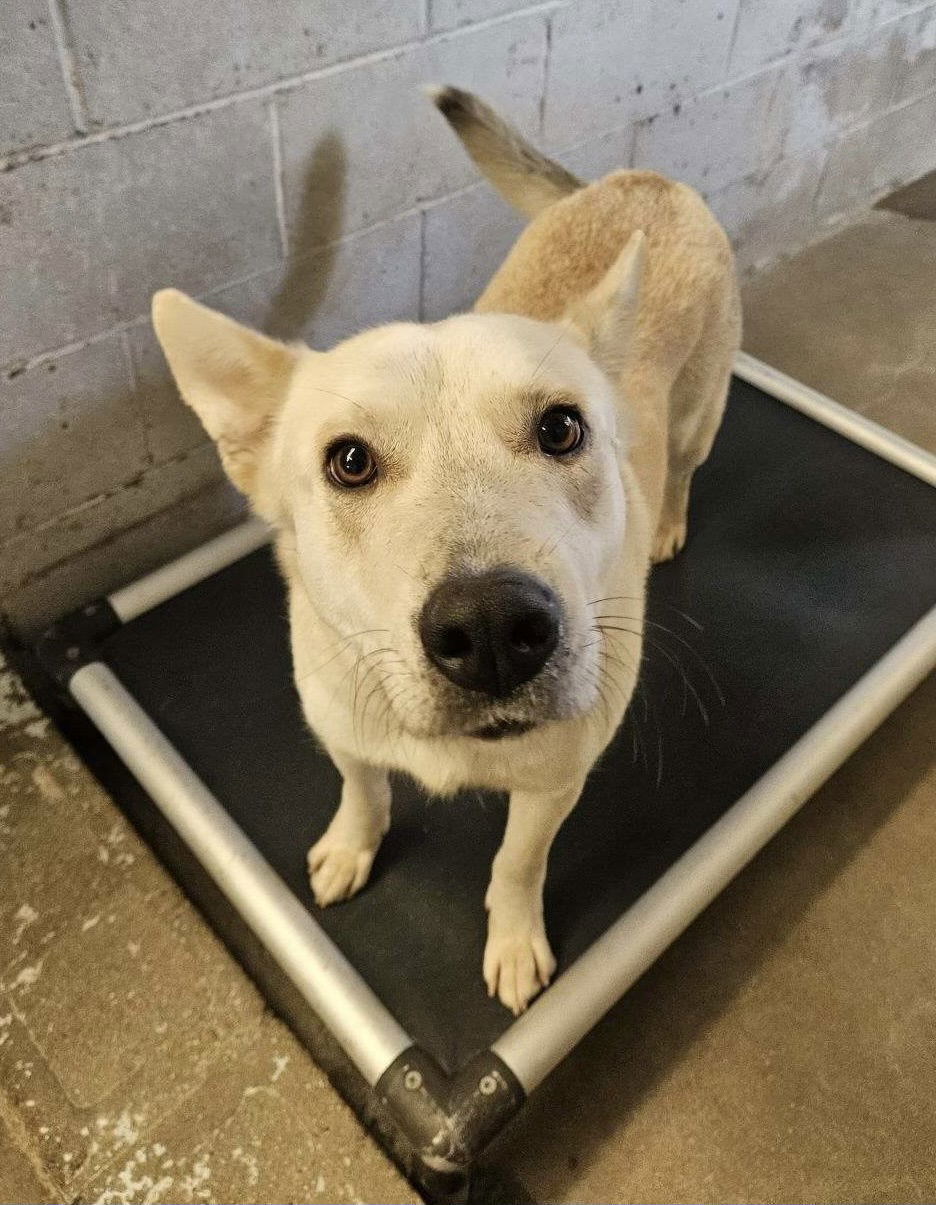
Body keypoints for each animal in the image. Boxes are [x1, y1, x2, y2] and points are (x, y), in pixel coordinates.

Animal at [151, 84, 737, 1012]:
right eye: (349, 461)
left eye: (562, 428)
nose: (494, 629)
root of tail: (643, 180)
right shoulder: (346, 734)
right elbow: (363, 792)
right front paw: (351, 846)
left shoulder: (551, 784)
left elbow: (517, 864)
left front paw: (515, 938)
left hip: (698, 416)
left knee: (682, 465)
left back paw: (670, 520)